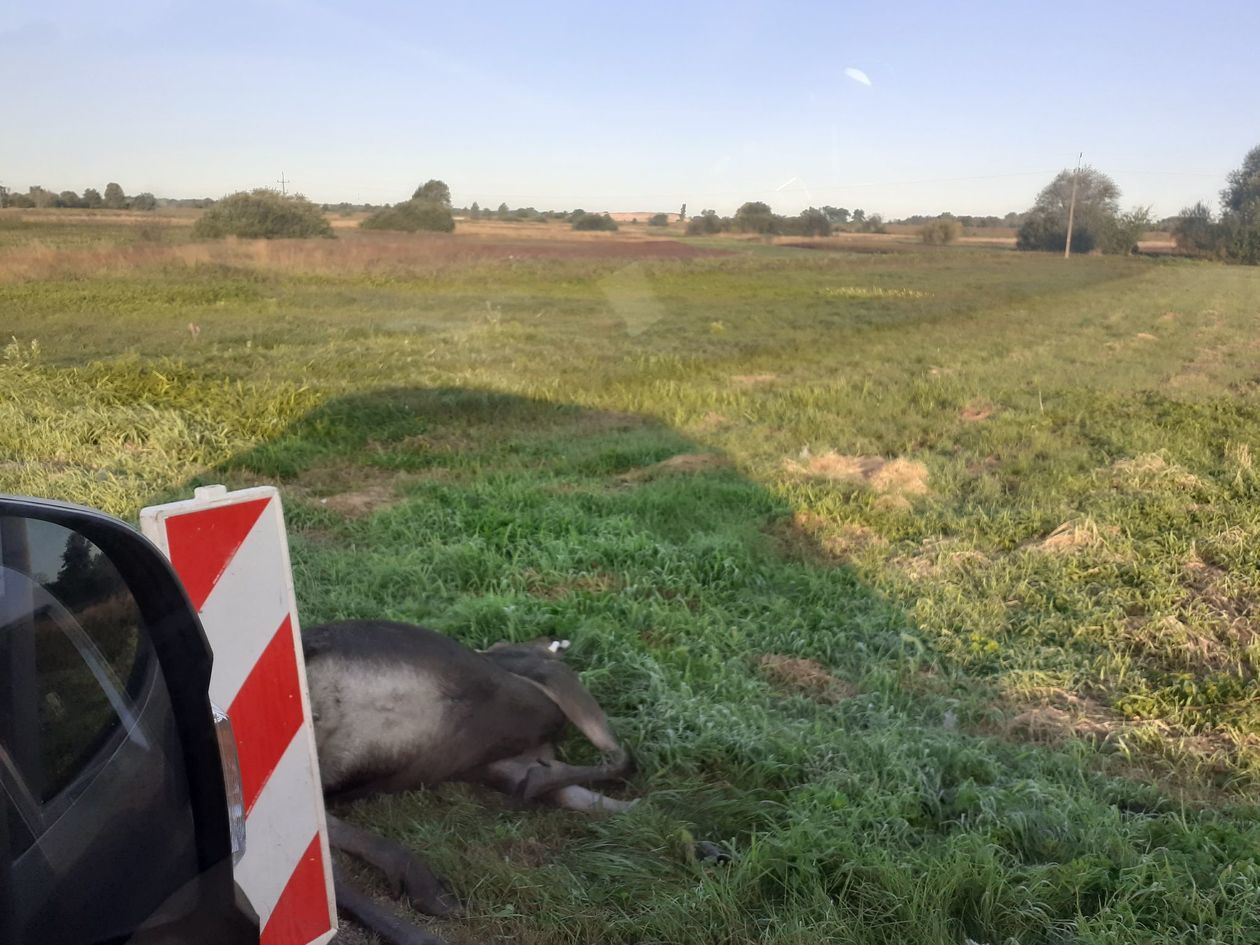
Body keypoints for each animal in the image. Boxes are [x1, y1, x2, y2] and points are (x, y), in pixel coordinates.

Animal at [301, 619, 638, 945]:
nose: (555, 640)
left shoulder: (502, 763)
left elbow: (579, 793)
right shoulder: (549, 678)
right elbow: (622, 758)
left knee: (330, 856)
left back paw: (419, 894)